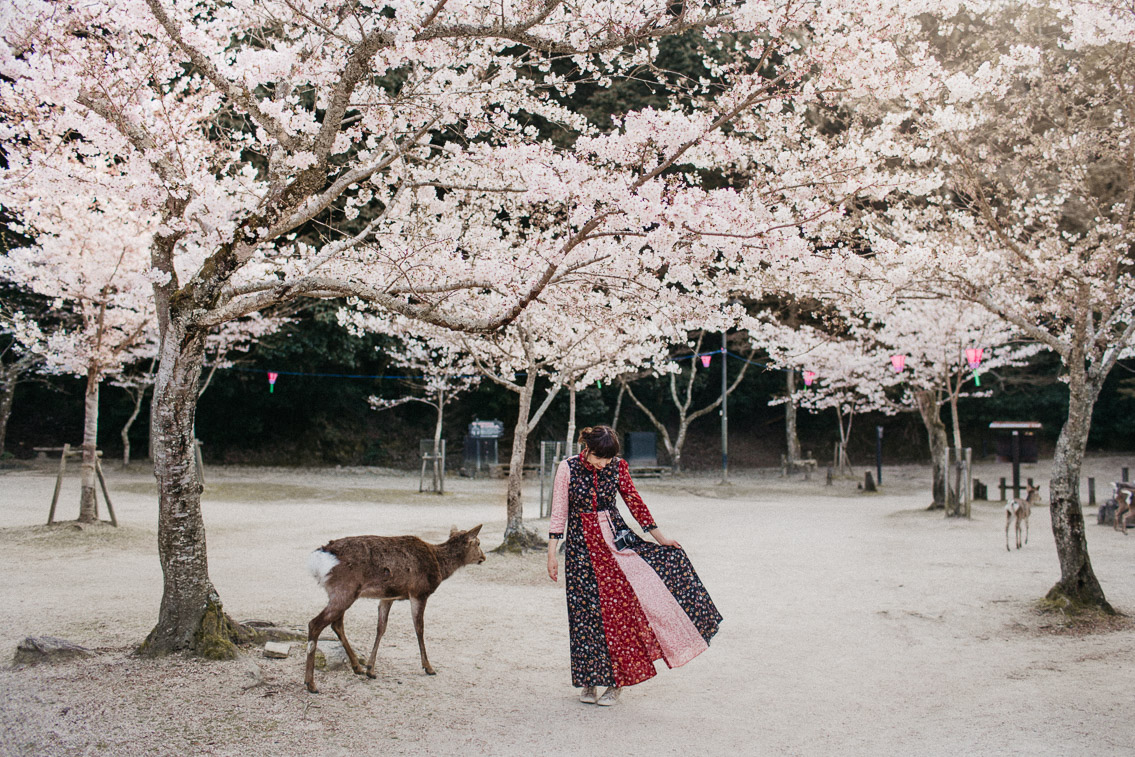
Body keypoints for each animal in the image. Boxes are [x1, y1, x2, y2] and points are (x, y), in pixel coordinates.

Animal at [301, 526, 483, 694]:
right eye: (478, 543)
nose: (483, 557)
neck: (439, 566)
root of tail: (316, 560)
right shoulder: (419, 592)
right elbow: (419, 628)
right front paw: (428, 667)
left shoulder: (387, 597)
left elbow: (381, 628)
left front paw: (371, 669)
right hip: (344, 591)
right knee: (315, 623)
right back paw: (311, 683)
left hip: (341, 593)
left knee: (336, 624)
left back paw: (357, 667)